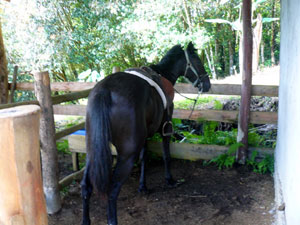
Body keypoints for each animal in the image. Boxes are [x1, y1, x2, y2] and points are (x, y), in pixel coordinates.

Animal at [81, 42, 210, 225]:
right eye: (198, 61)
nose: (207, 84)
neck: (163, 74)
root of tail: (105, 91)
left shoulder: (145, 135)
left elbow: (144, 158)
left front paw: (143, 186)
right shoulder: (166, 126)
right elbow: (166, 155)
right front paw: (170, 180)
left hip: (93, 151)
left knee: (86, 186)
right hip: (127, 155)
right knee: (112, 190)